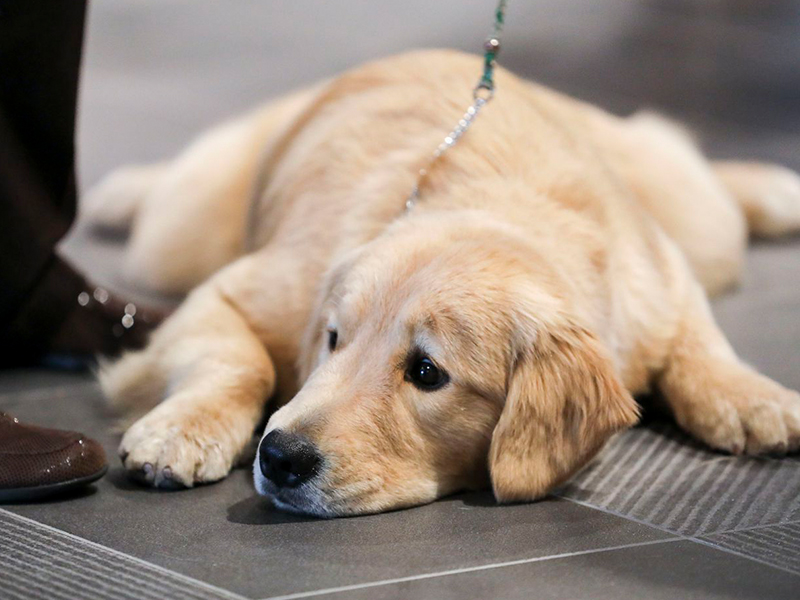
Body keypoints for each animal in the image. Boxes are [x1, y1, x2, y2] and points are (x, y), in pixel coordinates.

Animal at [86, 50, 800, 516]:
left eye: (427, 373)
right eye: (334, 340)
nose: (280, 455)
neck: (495, 203)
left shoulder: (661, 277)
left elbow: (699, 340)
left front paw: (750, 397)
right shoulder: (239, 291)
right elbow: (240, 361)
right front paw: (184, 428)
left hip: (692, 221)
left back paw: (772, 187)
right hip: (182, 236)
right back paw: (122, 189)